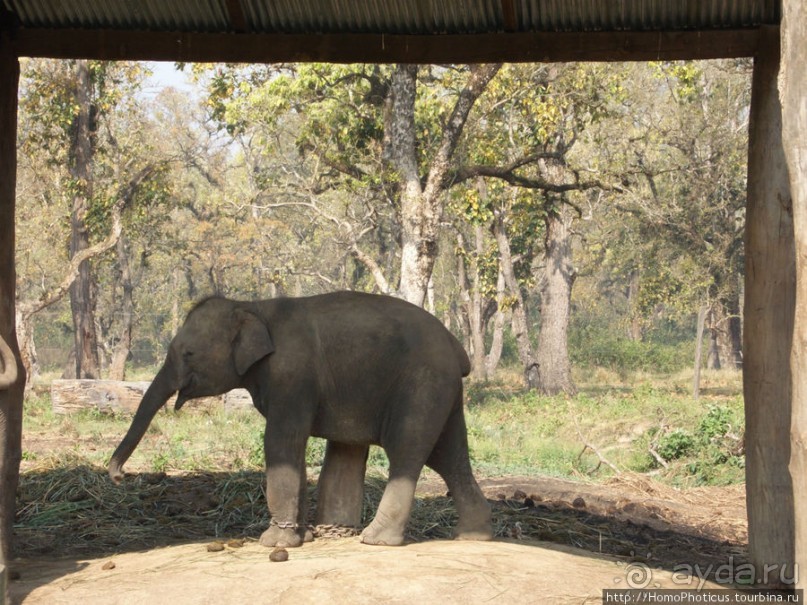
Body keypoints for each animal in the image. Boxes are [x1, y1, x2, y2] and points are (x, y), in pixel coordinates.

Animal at [107, 292, 492, 548]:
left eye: (188, 353)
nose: (119, 476)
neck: (253, 304)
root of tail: (457, 348)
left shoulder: (291, 377)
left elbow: (281, 442)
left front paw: (274, 542)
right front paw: (302, 536)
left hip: (422, 386)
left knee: (407, 453)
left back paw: (375, 539)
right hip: (442, 392)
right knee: (449, 457)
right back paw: (472, 535)